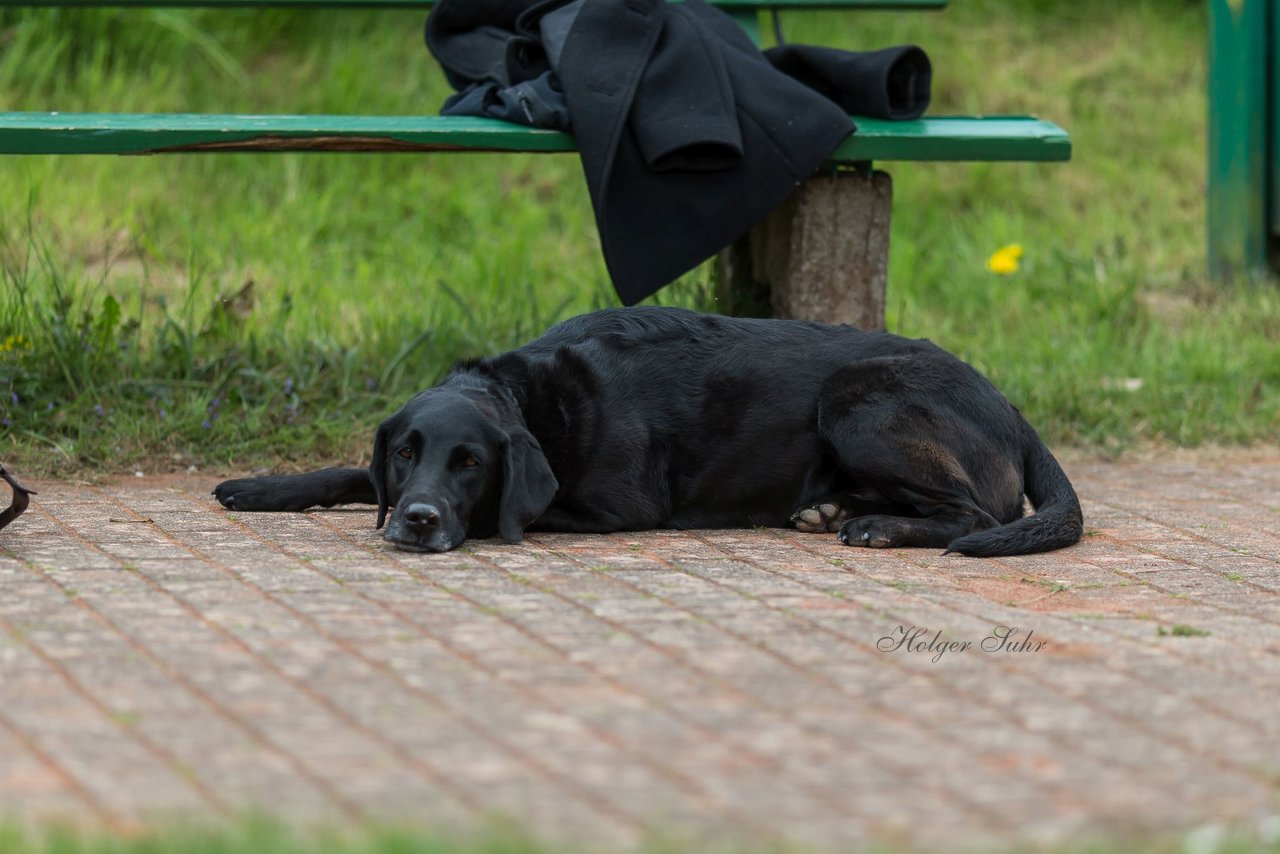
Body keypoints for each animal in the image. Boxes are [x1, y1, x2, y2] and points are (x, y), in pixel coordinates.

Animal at [212, 306, 1080, 555]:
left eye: (471, 465)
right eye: (405, 452)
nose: (418, 520)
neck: (531, 398)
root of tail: (1010, 405)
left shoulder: (620, 508)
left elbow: (520, 515)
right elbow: (349, 474)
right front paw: (258, 486)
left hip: (858, 400)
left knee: (975, 512)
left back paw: (874, 525)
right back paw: (831, 508)